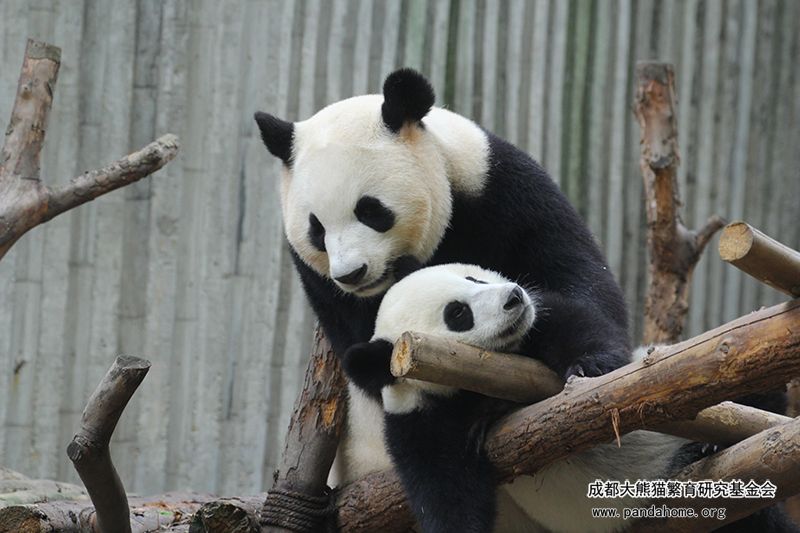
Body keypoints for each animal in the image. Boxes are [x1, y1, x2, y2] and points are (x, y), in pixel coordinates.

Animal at [255, 68, 630, 484]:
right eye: (316, 229)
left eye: (371, 211)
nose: (352, 273)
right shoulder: (323, 288)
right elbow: (370, 353)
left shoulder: (499, 186)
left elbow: (575, 275)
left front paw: (588, 363)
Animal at [342, 263, 800, 533]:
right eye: (458, 313)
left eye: (474, 279)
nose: (513, 297)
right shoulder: (421, 422)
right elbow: (447, 493)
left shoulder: (541, 321)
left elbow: (580, 330)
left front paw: (588, 370)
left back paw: (711, 442)